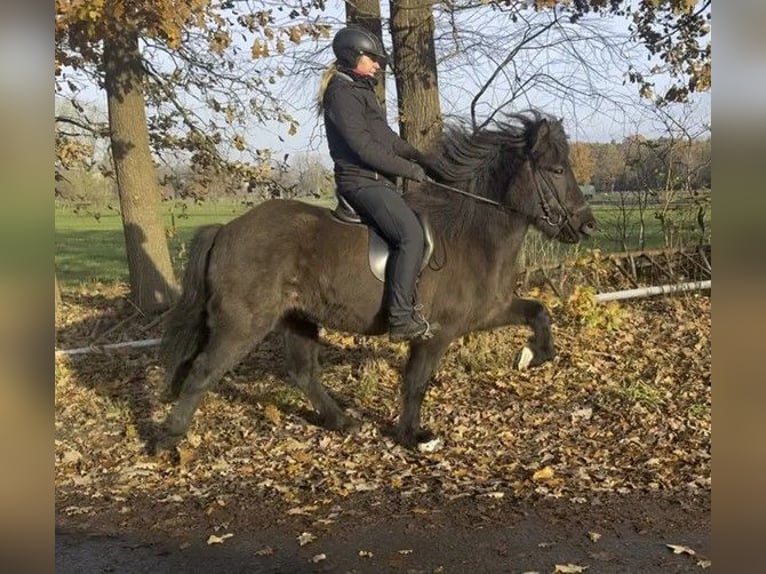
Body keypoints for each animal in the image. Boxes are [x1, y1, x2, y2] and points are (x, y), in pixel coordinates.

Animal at [159, 110, 596, 452]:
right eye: (557, 170)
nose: (587, 226)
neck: (471, 233)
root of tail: (225, 230)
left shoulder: (488, 311)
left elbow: (539, 312)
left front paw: (534, 355)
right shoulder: (436, 331)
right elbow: (416, 382)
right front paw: (414, 436)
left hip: (297, 318)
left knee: (303, 373)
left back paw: (342, 421)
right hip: (244, 323)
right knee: (204, 371)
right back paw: (168, 440)